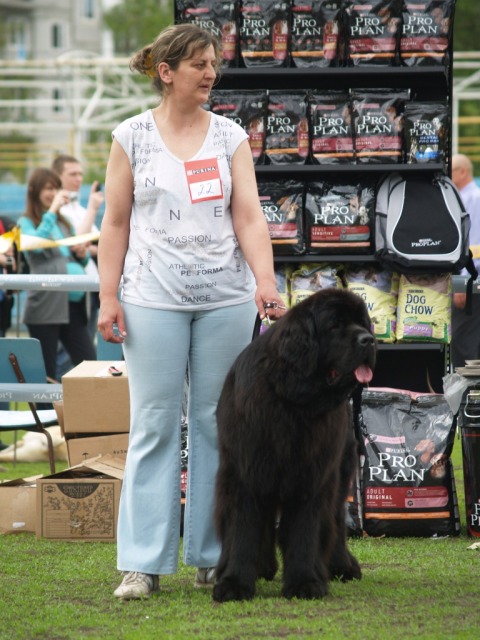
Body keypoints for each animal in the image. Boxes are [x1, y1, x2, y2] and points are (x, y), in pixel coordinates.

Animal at [213, 288, 376, 604]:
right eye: (335, 325)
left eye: (363, 323)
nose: (369, 340)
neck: (292, 401)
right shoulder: (244, 472)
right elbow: (242, 528)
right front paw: (234, 583)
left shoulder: (311, 476)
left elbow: (305, 531)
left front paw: (305, 582)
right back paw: (263, 566)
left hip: (340, 470)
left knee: (335, 520)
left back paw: (342, 566)